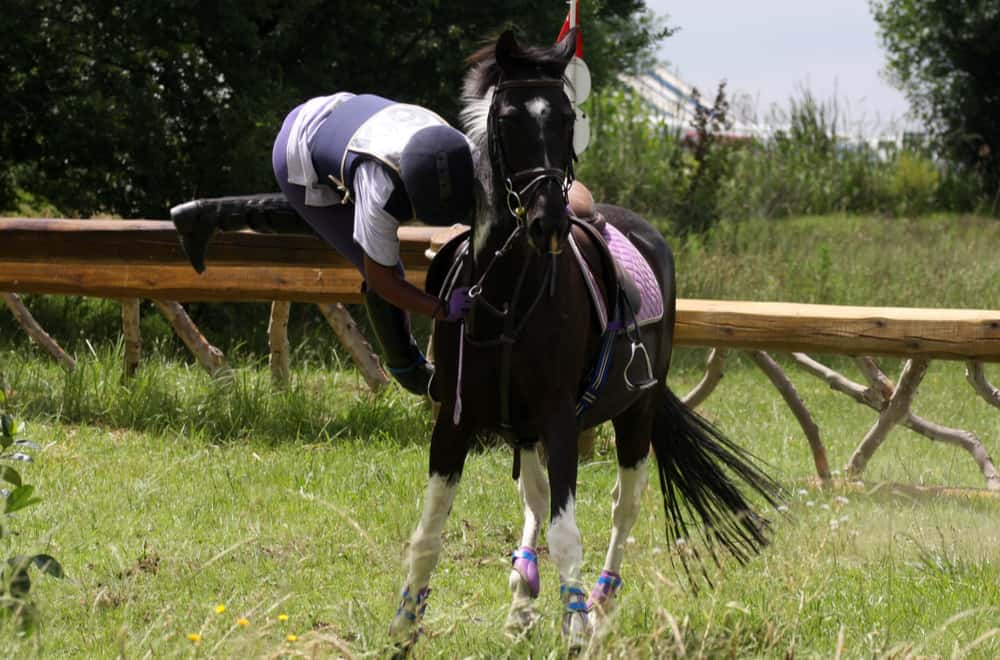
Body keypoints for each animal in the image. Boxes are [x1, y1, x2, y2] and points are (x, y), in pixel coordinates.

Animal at [387, 28, 783, 654]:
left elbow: (568, 532)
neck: (508, 294)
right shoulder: (454, 421)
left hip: (635, 415)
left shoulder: (558, 421)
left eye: (568, 116)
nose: (548, 221)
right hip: (525, 431)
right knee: (535, 499)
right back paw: (523, 598)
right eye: (508, 117)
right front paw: (405, 629)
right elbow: (429, 531)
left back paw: (596, 607)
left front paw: (574, 629)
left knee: (624, 507)